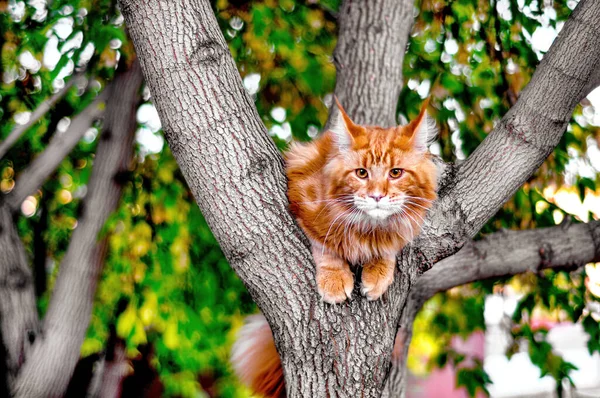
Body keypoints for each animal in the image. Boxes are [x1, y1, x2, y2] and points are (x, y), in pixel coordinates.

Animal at [286, 98, 436, 302]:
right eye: (362, 173)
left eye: (396, 172)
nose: (377, 195)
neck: (369, 229)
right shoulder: (303, 200)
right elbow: (326, 248)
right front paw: (334, 278)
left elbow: (388, 249)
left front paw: (378, 272)